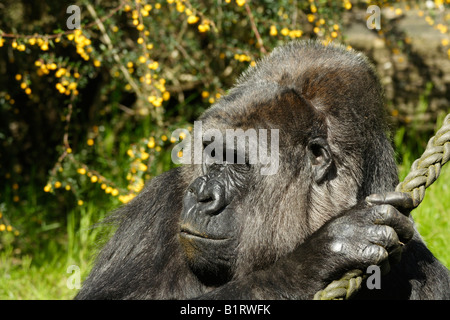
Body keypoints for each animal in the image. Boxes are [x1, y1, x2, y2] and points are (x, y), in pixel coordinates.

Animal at [75, 40, 448, 300]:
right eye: (212, 152)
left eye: (238, 162)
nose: (201, 195)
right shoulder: (158, 205)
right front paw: (316, 258)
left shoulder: (420, 265)